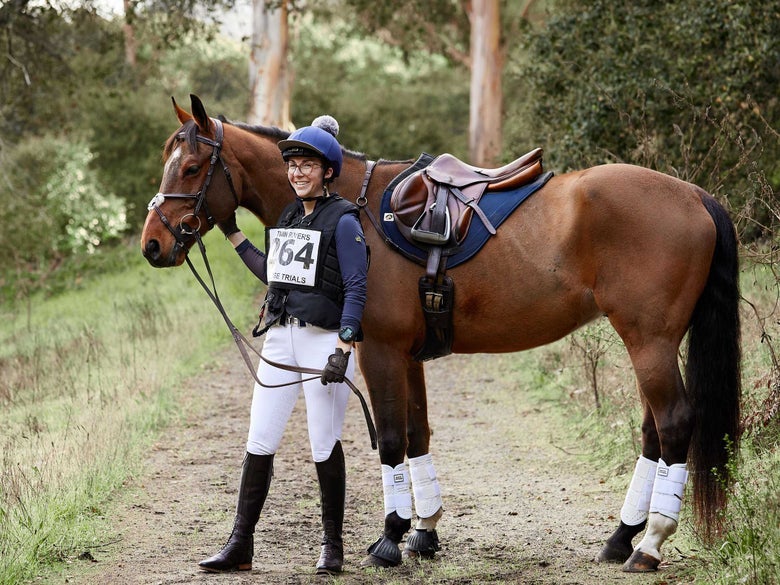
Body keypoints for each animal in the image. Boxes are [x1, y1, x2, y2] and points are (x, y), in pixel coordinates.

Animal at [140, 94, 741, 574]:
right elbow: (419, 434)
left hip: (649, 343)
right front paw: (424, 531)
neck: (354, 206)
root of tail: (694, 195)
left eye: (191, 167)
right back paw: (621, 538)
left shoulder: (380, 352)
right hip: (650, 344)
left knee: (674, 423)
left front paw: (389, 538)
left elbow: (390, 441)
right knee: (654, 432)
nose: (153, 244)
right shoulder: (409, 357)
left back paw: (651, 544)